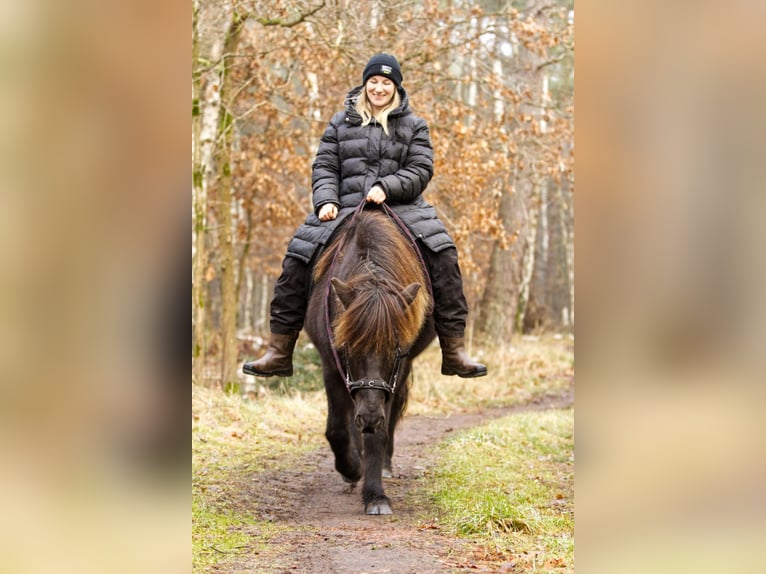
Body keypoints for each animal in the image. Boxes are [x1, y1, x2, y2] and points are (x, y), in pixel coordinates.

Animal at [306, 207, 438, 516]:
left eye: (395, 350)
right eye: (347, 348)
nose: (369, 417)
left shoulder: (394, 375)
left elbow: (378, 433)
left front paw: (376, 495)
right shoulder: (332, 367)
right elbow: (337, 428)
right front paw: (351, 469)